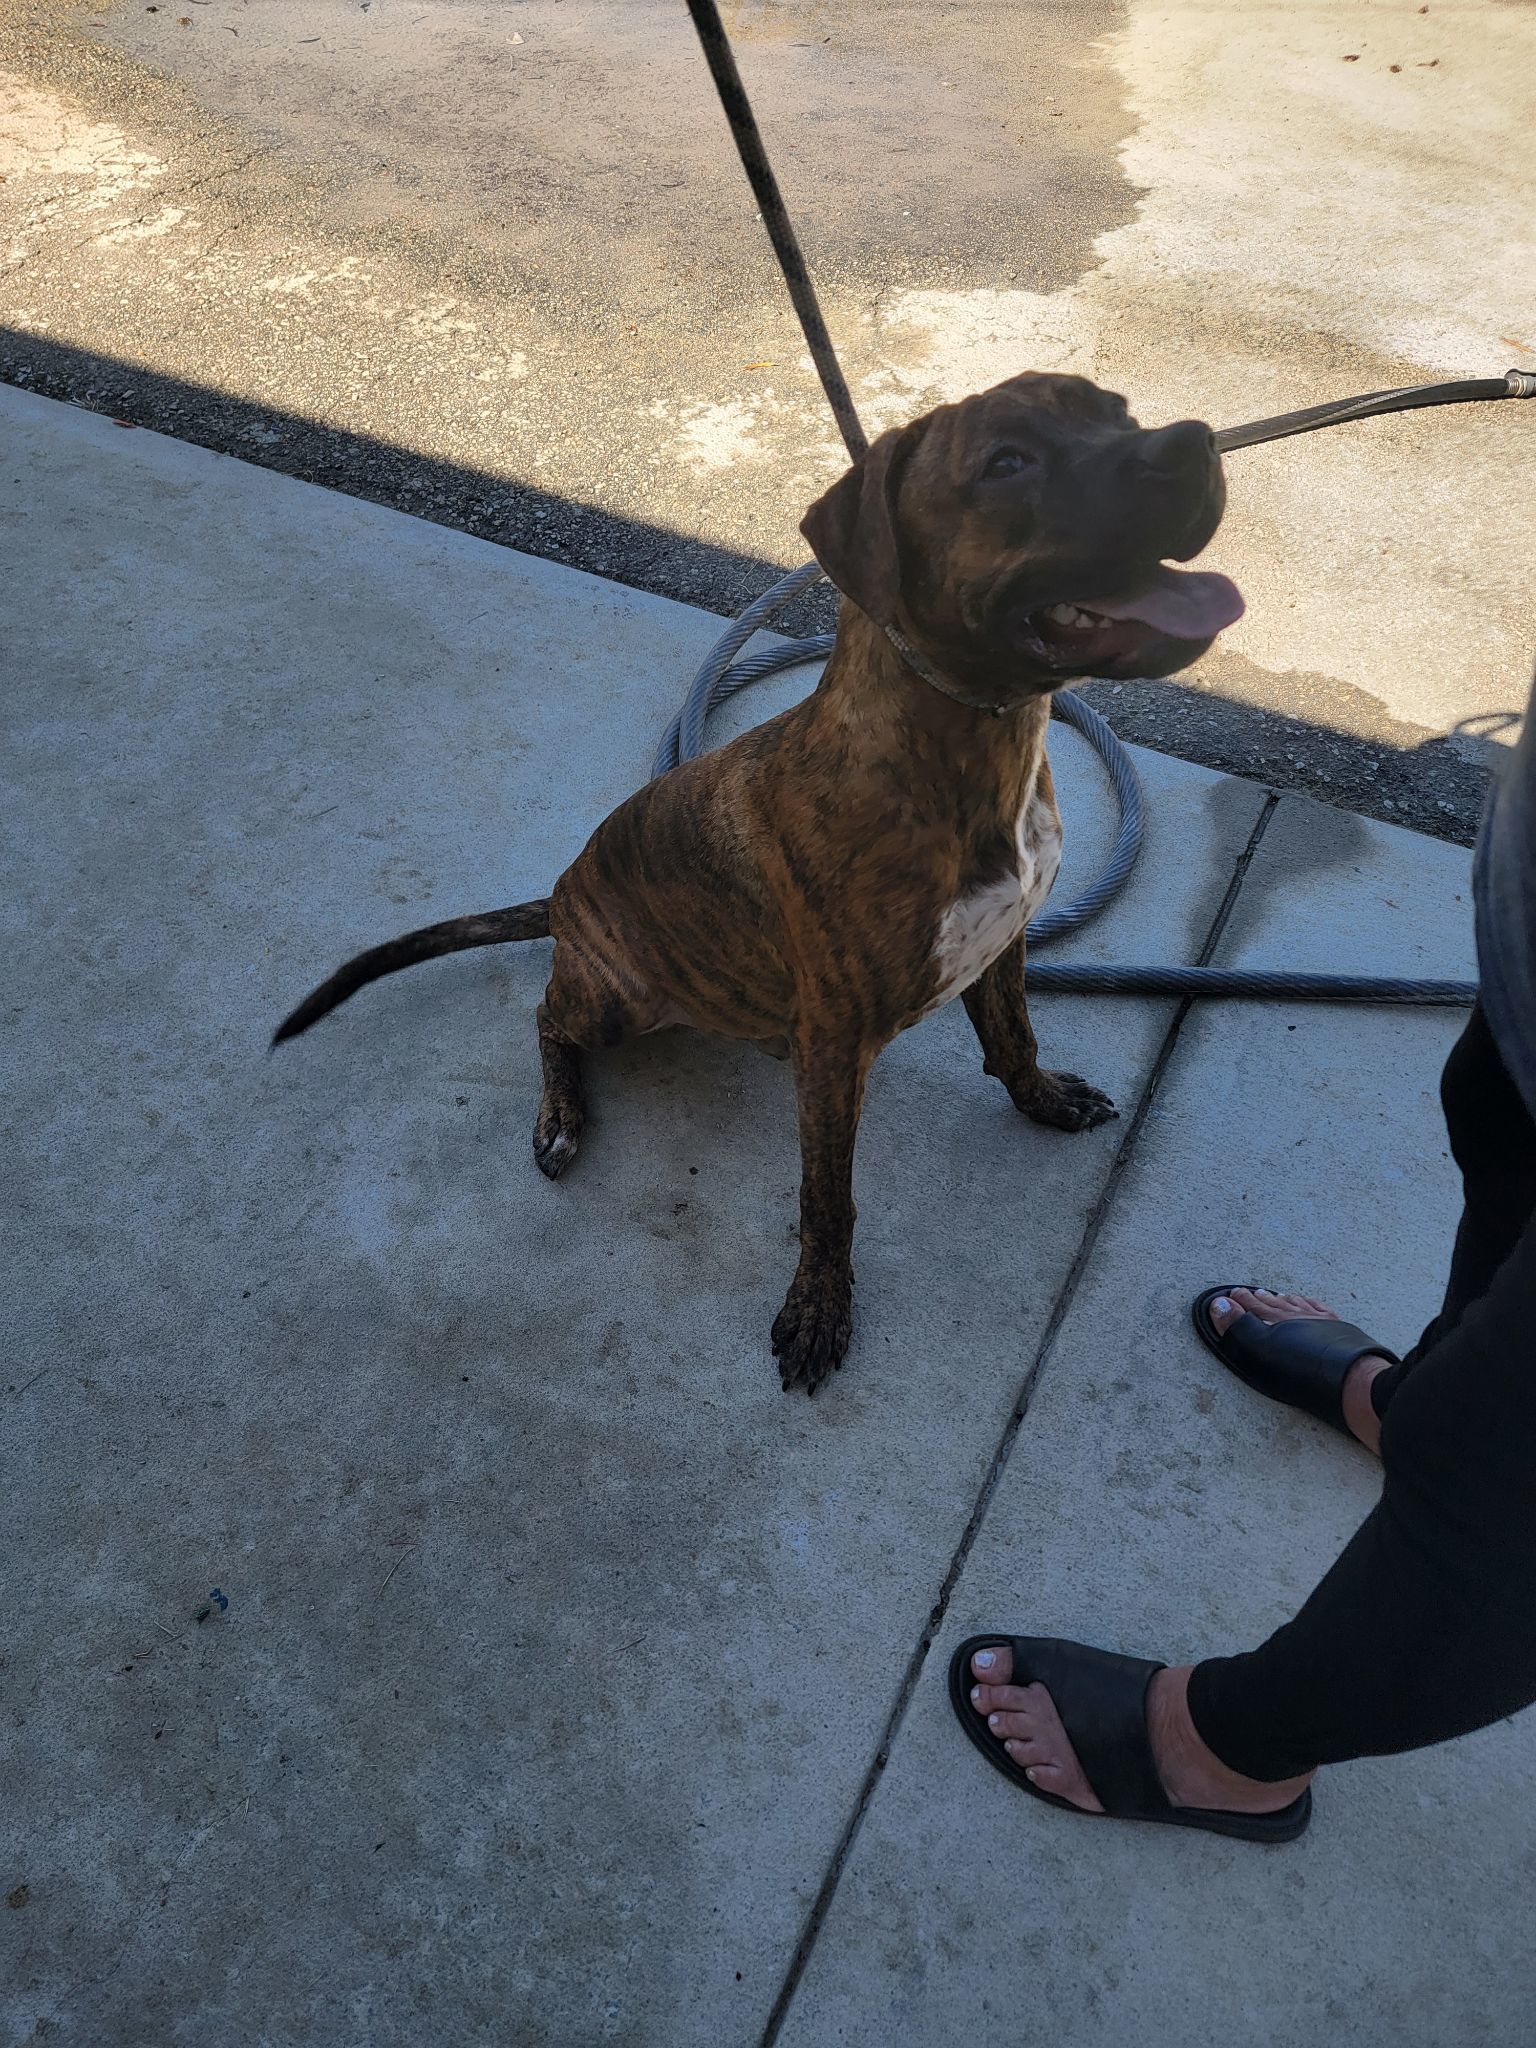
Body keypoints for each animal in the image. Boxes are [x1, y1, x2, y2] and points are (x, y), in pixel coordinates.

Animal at [276, 372, 1245, 1392]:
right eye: (1006, 462)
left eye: (1120, 410)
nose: (1193, 442)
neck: (966, 751)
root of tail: (564, 897)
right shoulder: (835, 1044)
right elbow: (829, 1197)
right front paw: (819, 1305)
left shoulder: (1002, 943)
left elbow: (1013, 1039)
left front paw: (1044, 1100)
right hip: (619, 999)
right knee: (545, 1018)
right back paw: (561, 1116)